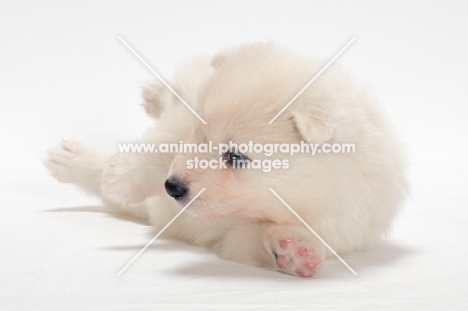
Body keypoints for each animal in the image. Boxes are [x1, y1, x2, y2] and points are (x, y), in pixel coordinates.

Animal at [44, 43, 410, 278]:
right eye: (200, 133)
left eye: (235, 157)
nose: (172, 188)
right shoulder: (183, 125)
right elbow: (162, 145)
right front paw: (122, 173)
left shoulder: (252, 231)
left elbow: (254, 239)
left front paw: (295, 250)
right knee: (180, 88)